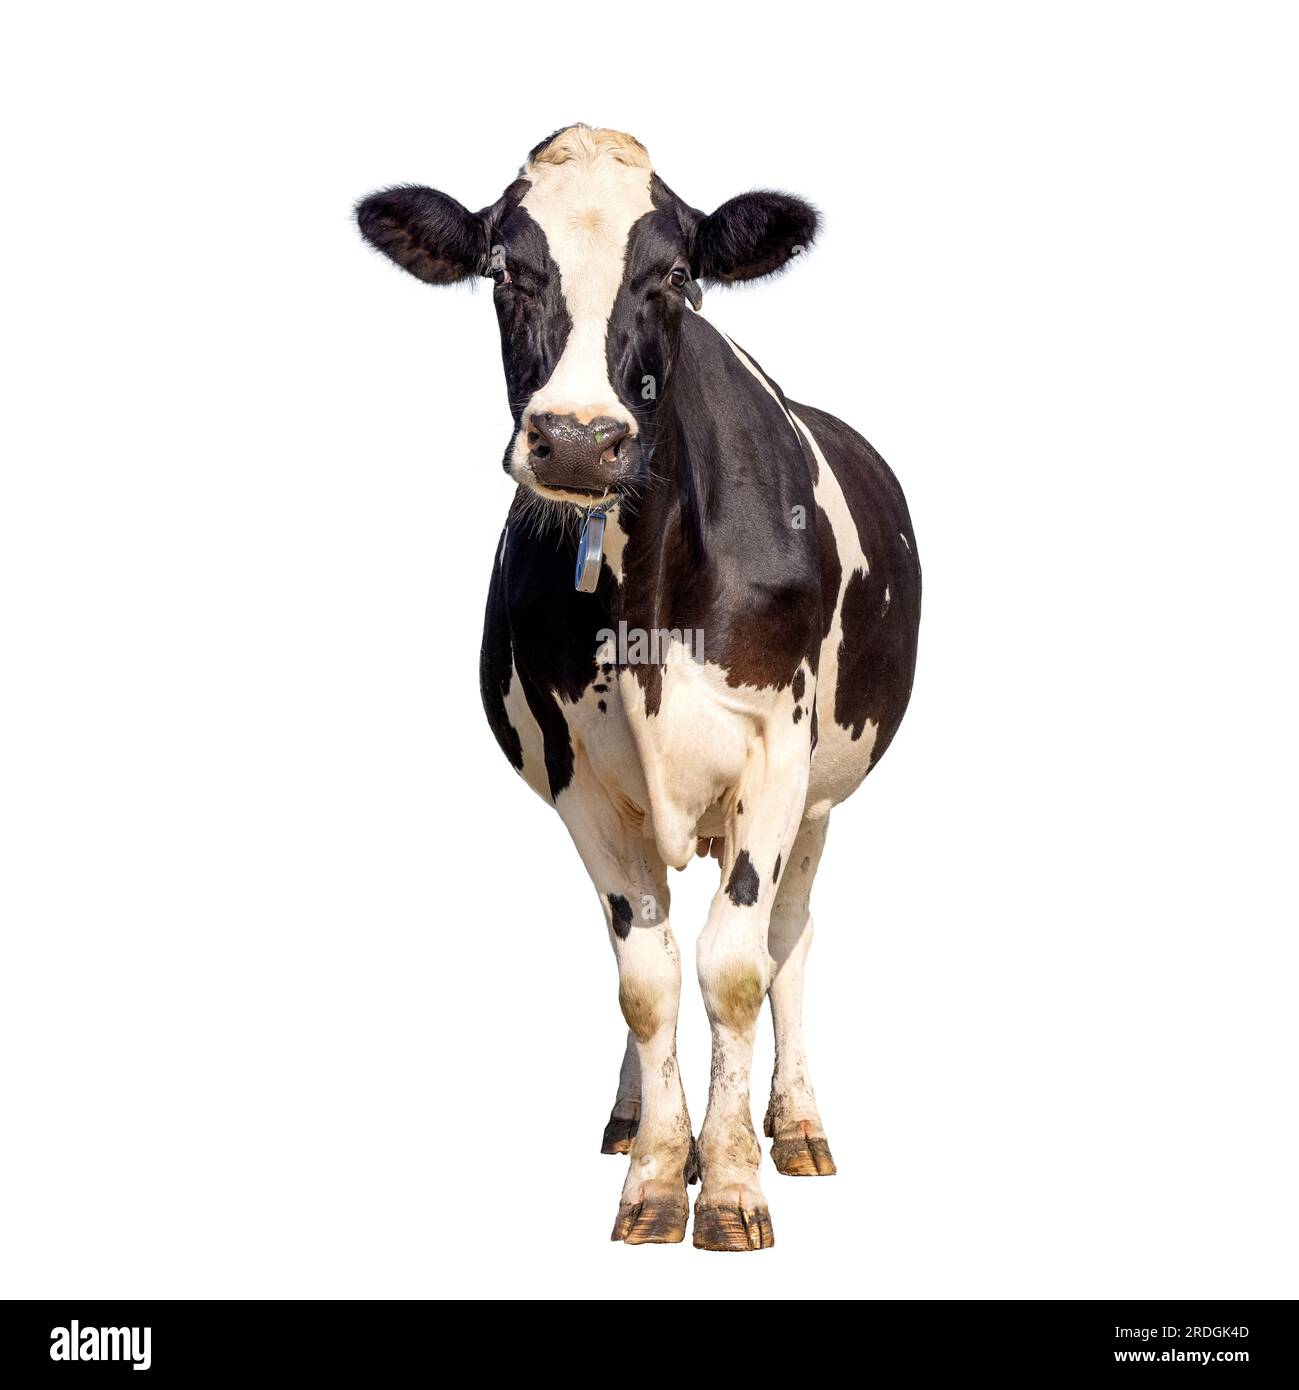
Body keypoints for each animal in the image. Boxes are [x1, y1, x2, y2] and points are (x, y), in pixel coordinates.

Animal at [356, 125, 921, 1251]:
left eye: (673, 277)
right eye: (504, 273)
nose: (578, 438)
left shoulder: (776, 759)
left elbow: (737, 966)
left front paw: (736, 1181)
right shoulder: (582, 778)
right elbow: (649, 976)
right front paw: (662, 1174)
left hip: (823, 796)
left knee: (791, 939)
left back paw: (794, 1123)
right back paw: (635, 1120)